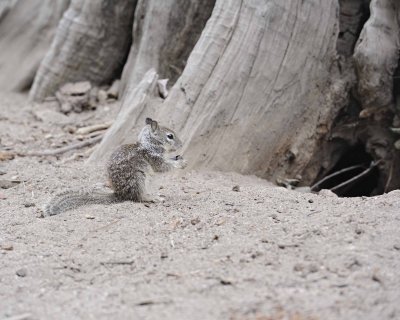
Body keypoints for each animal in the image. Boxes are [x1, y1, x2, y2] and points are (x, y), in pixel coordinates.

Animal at [43, 117, 188, 215]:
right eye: (170, 136)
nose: (181, 145)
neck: (149, 144)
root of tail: (120, 194)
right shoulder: (153, 158)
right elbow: (163, 166)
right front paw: (180, 163)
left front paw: (179, 158)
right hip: (139, 179)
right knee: (139, 197)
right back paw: (152, 198)